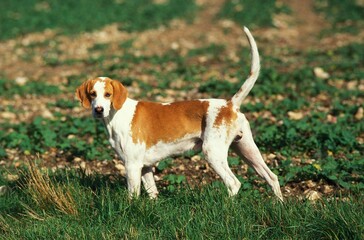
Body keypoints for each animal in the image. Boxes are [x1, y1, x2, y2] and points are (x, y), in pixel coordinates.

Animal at [75, 26, 282, 201]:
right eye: (92, 94)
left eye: (108, 94)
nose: (98, 110)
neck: (117, 116)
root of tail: (229, 104)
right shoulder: (146, 168)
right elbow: (153, 194)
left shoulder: (132, 166)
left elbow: (132, 197)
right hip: (248, 150)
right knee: (272, 177)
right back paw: (279, 206)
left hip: (213, 153)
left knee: (234, 183)